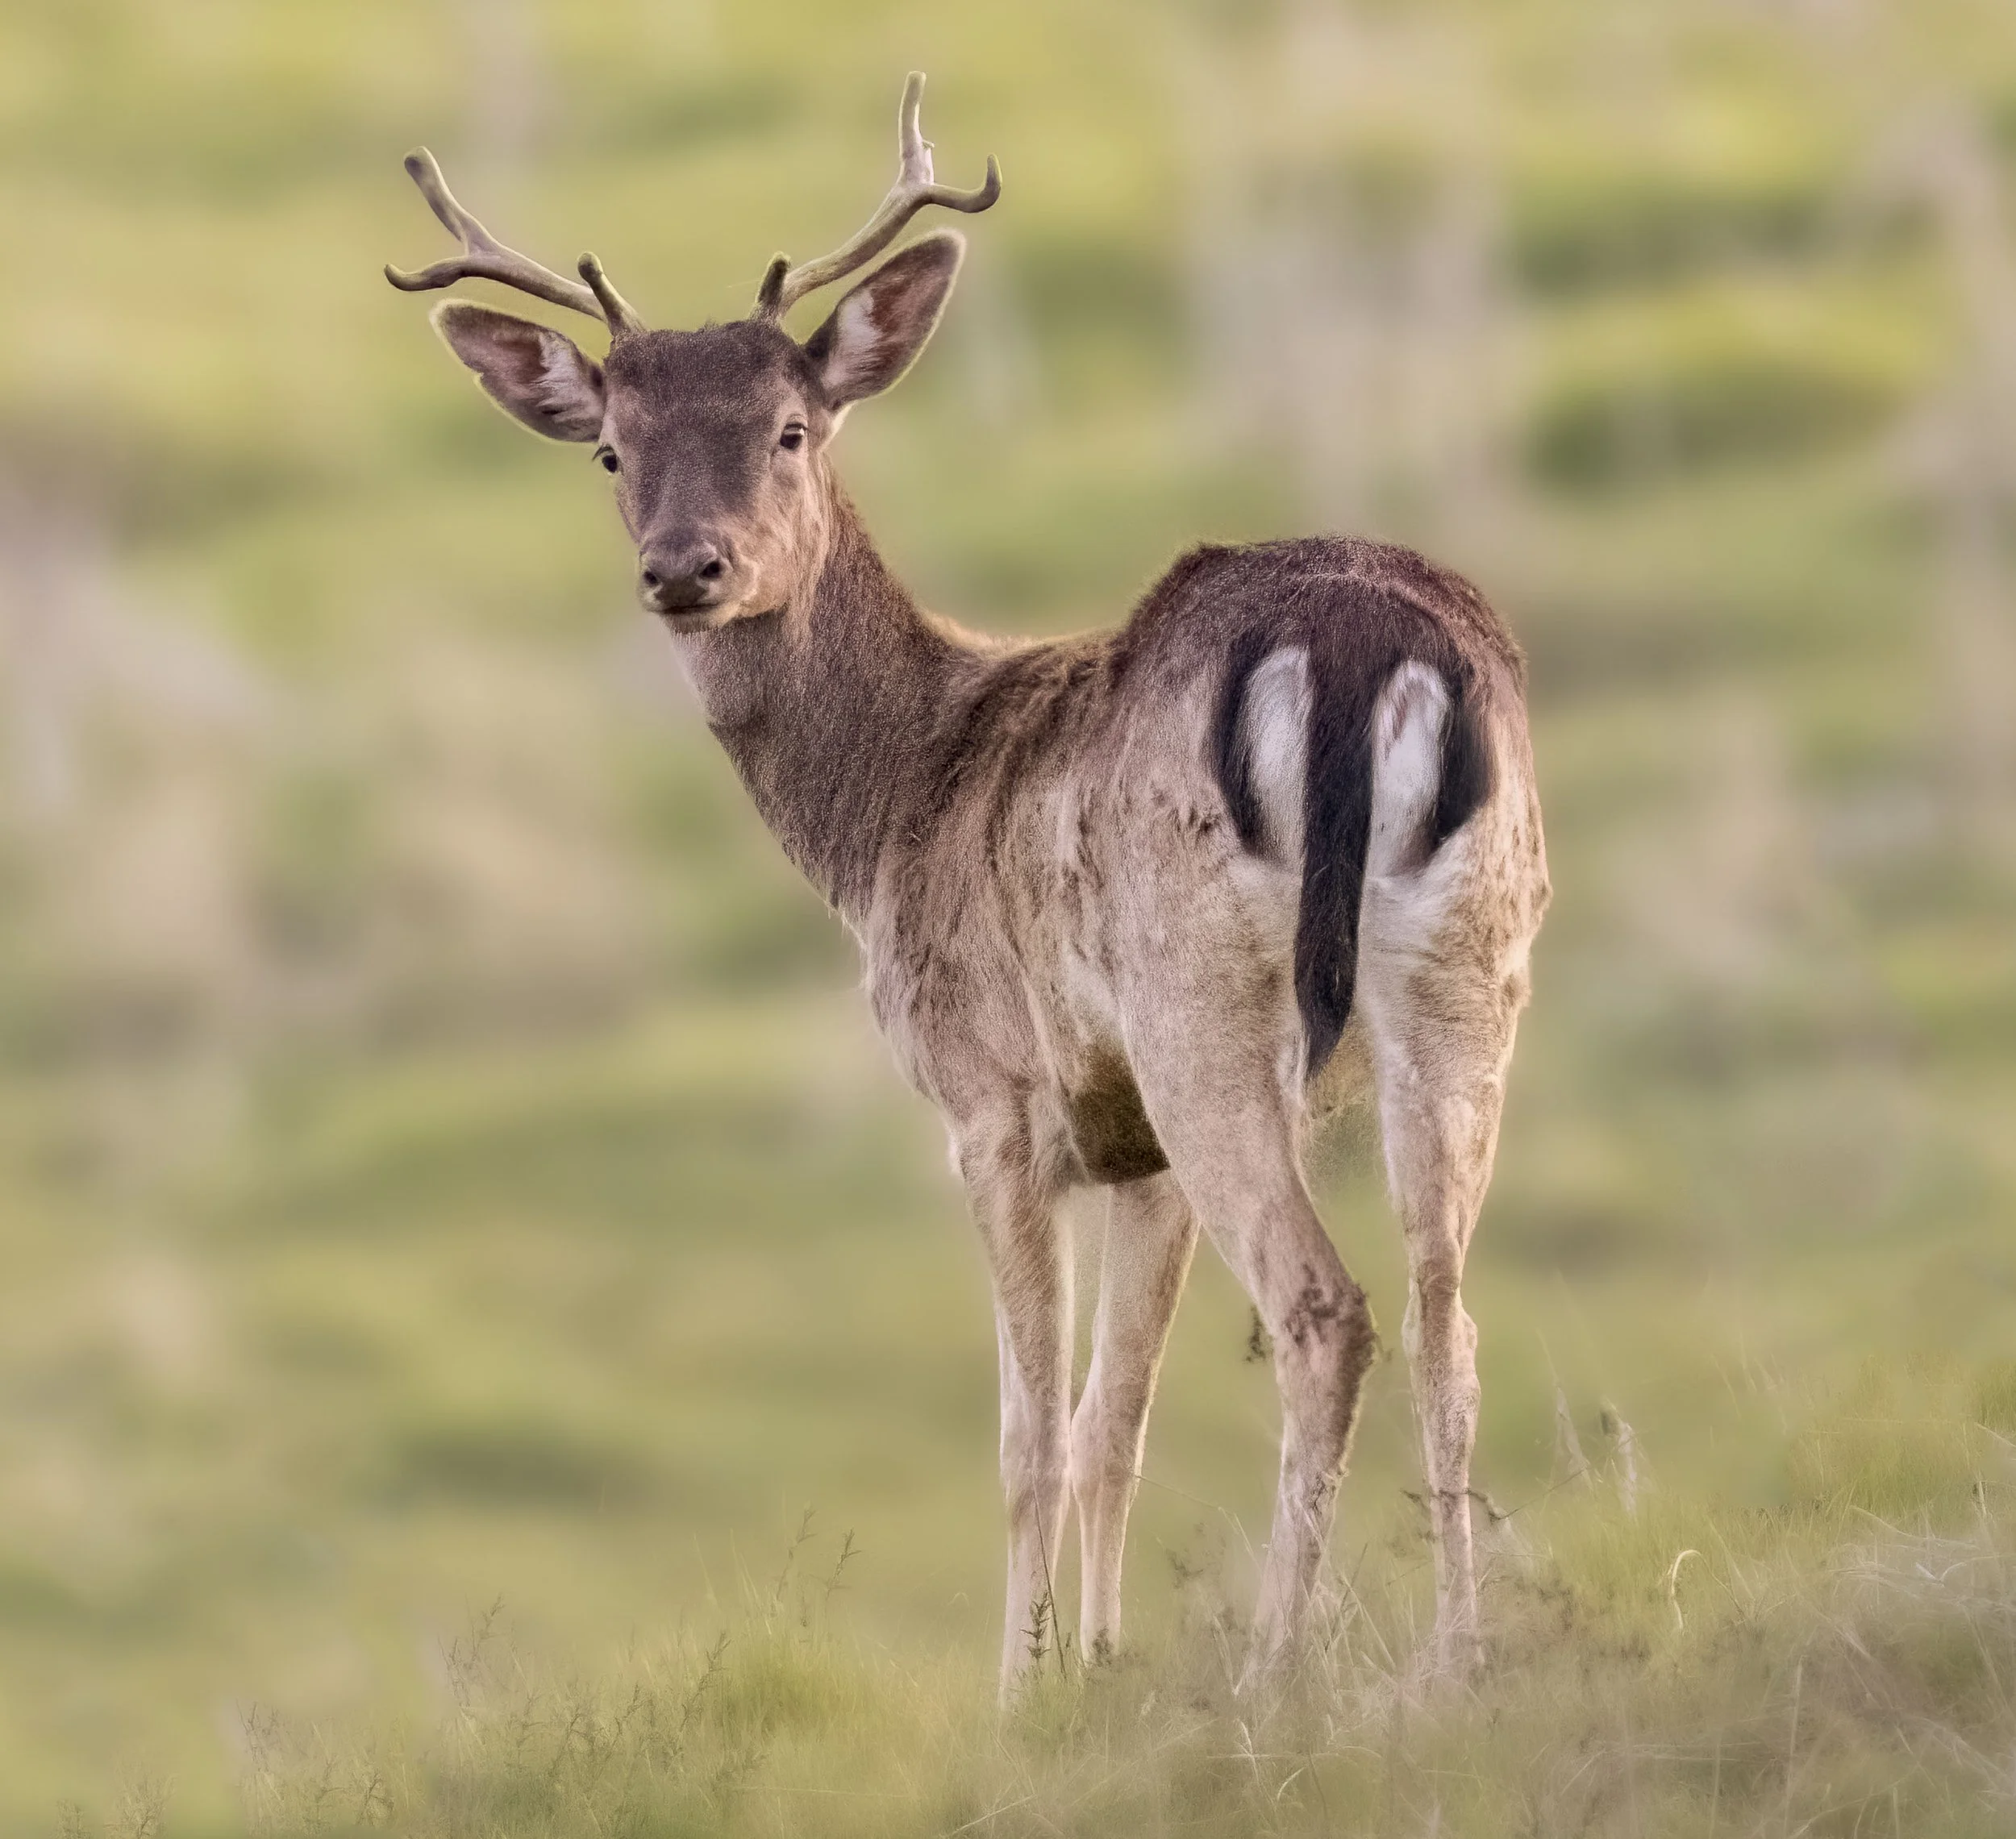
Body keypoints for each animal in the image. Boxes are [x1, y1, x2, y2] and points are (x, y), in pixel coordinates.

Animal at [384, 73, 1548, 1692]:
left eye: (793, 427)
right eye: (613, 447)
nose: (686, 567)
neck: (891, 808)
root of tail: (1368, 645)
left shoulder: (989, 1095)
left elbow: (1026, 1438)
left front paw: (1024, 1692)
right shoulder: (1130, 1145)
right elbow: (1115, 1424)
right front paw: (1105, 1668)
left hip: (1201, 1001)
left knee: (1327, 1311)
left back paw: (1275, 1666)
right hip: (1471, 971)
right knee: (1453, 1317)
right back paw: (1458, 1654)